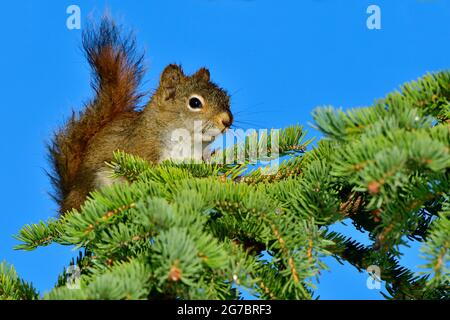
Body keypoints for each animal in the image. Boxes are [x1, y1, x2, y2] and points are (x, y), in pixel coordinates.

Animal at [47, 16, 234, 214]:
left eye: (226, 98)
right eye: (195, 103)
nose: (227, 120)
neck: (188, 143)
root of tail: (67, 201)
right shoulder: (140, 150)